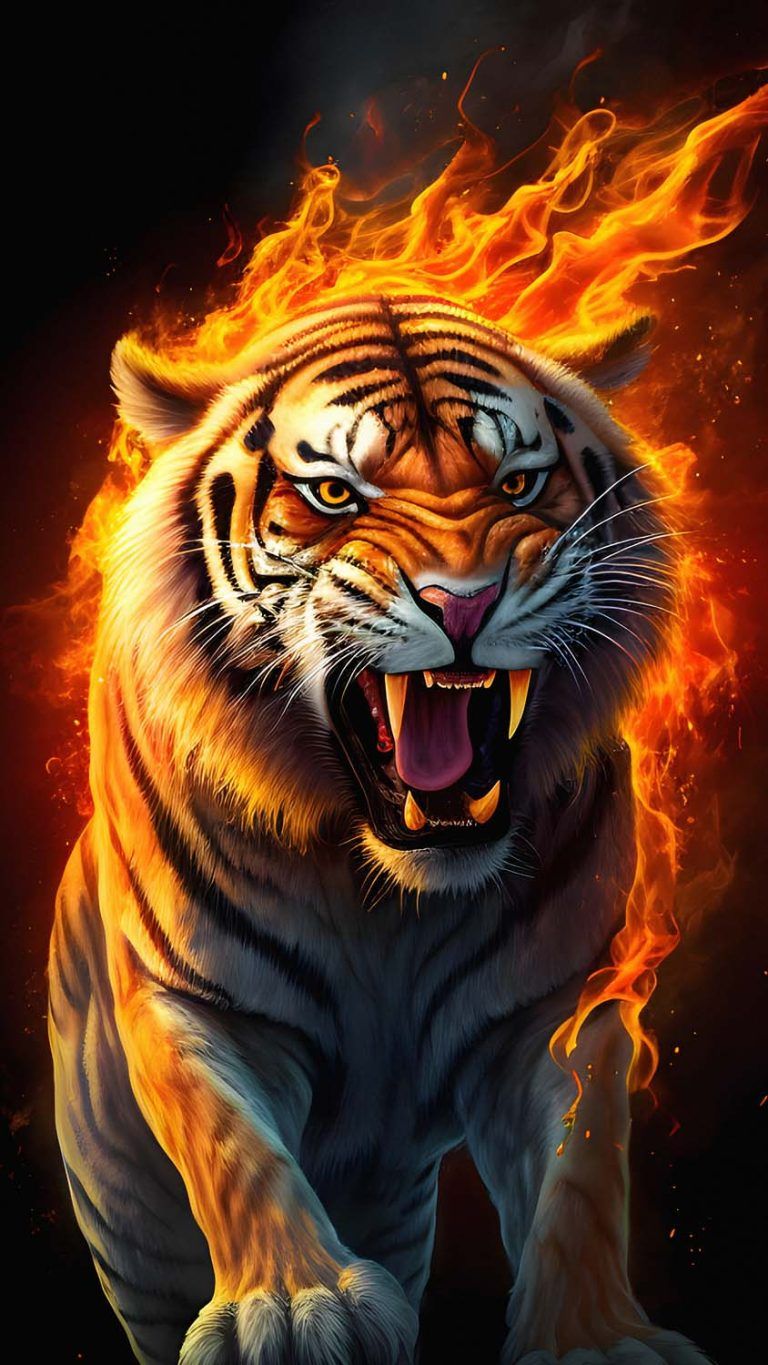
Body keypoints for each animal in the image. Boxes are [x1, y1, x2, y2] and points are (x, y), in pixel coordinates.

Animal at [47, 294, 712, 1365]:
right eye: (333, 494)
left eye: (519, 481)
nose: (463, 603)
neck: (392, 898)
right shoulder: (189, 999)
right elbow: (234, 1148)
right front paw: (297, 1307)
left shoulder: (562, 1004)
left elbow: (582, 1175)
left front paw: (595, 1339)